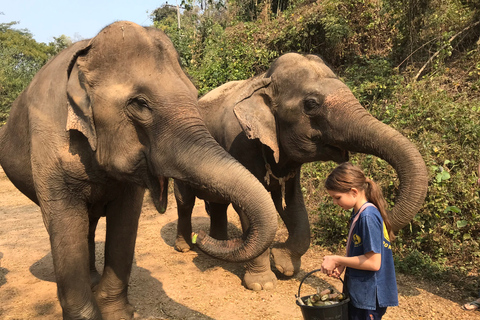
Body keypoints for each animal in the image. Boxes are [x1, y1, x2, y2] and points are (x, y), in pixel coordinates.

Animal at [0, 20, 278, 320]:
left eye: (195, 95)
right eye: (140, 104)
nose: (200, 237)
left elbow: (125, 221)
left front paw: (117, 313)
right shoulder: (50, 143)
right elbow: (66, 223)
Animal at [174, 53, 430, 292]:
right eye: (311, 104)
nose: (199, 237)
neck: (264, 81)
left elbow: (293, 203)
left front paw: (283, 265)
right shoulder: (239, 144)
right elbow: (250, 208)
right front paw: (261, 284)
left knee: (218, 204)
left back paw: (218, 242)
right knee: (185, 200)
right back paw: (186, 246)